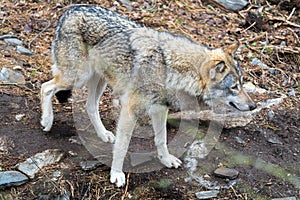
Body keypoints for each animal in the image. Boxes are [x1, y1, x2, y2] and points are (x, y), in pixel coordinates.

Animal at [39, 5, 255, 188]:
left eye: (242, 83)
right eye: (234, 87)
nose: (253, 106)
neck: (170, 70)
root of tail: (71, 9)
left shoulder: (160, 109)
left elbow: (162, 139)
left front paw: (166, 160)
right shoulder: (130, 110)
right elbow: (123, 145)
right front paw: (116, 174)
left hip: (98, 81)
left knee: (89, 105)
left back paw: (103, 134)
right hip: (76, 78)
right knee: (45, 87)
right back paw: (47, 121)